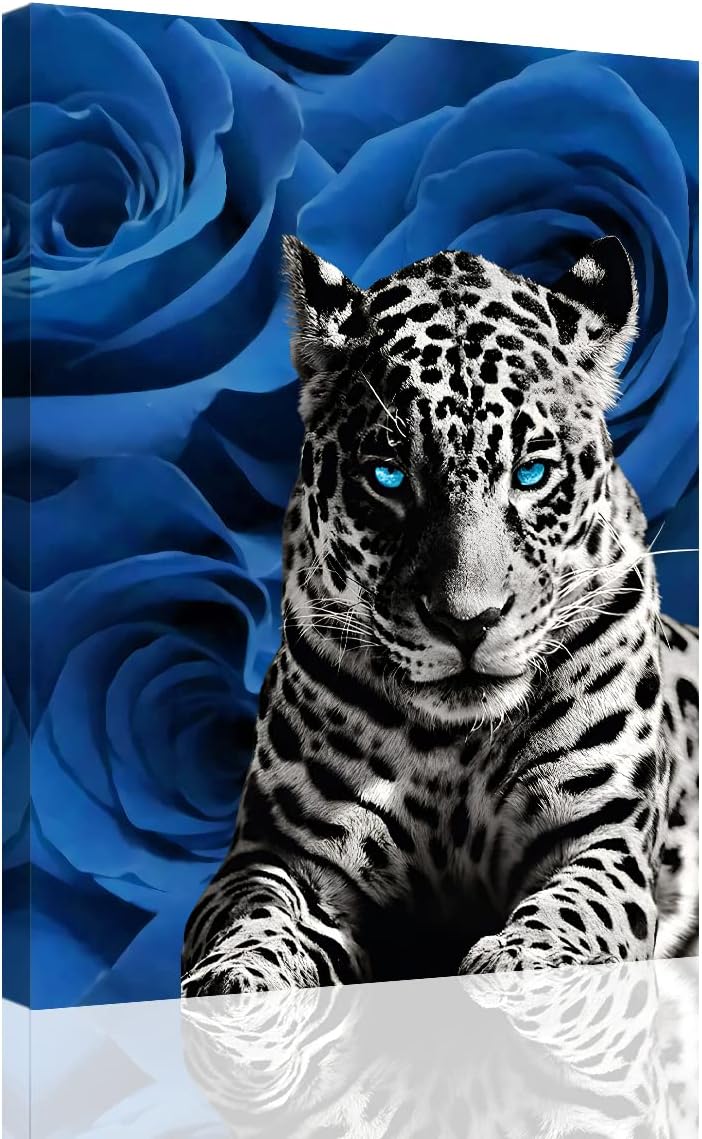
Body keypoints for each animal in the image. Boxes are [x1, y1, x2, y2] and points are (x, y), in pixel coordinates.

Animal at [182, 233, 698, 997]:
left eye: (531, 474)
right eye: (389, 476)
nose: (467, 622)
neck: (457, 748)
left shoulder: (601, 836)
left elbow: (575, 906)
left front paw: (522, 959)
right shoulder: (279, 851)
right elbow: (252, 914)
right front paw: (238, 978)